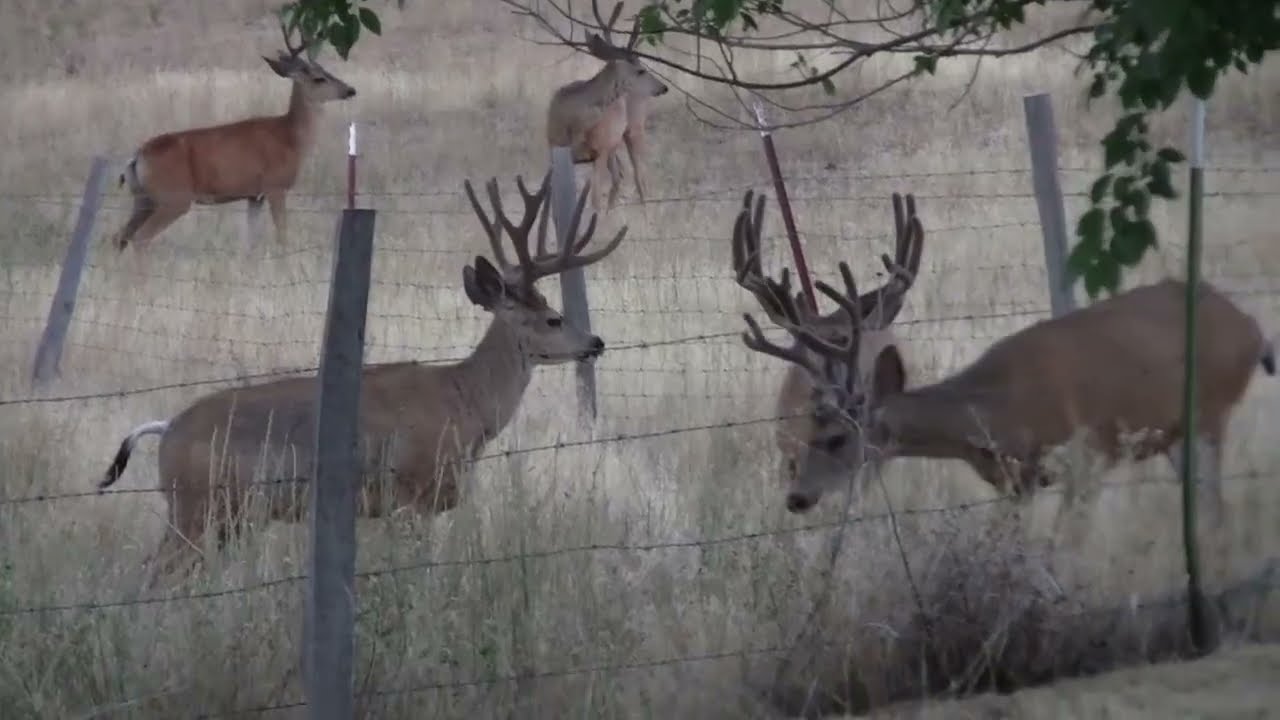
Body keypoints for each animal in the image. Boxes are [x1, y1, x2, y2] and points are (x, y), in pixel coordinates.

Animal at [97, 171, 628, 588]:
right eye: (553, 319)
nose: (597, 341)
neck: (466, 404)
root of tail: (167, 429)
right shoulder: (411, 493)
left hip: (221, 516)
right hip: (195, 506)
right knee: (154, 574)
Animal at [108, 15, 356, 253]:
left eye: (327, 71)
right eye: (319, 78)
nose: (350, 90)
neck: (290, 136)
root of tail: (137, 157)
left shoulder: (254, 195)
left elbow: (250, 241)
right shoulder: (275, 186)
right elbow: (282, 235)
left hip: (144, 199)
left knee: (119, 237)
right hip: (174, 198)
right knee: (140, 238)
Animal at [547, 0, 669, 213]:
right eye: (641, 70)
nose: (663, 87)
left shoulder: (599, 151)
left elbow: (595, 197)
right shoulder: (554, 148)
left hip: (633, 128)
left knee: (639, 175)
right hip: (613, 144)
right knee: (620, 176)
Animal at [731, 192, 1276, 518]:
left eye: (837, 437)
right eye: (807, 429)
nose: (796, 497)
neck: (995, 412)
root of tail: (1251, 327)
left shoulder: (1082, 456)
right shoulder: (1015, 484)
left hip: (1210, 413)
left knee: (1216, 505)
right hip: (1175, 432)